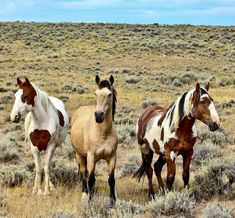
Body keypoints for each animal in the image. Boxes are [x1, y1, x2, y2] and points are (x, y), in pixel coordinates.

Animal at [70, 76, 117, 207]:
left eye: (109, 94)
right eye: (96, 93)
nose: (99, 115)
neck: (103, 133)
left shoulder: (112, 158)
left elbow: (111, 180)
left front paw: (112, 202)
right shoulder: (92, 157)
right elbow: (90, 179)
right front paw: (90, 202)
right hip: (79, 155)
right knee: (83, 173)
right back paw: (84, 193)